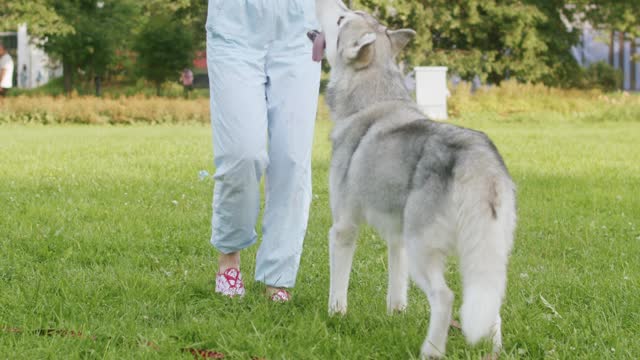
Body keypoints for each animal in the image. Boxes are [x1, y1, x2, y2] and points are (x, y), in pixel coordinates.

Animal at [316, 0, 520, 358]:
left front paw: (335, 316)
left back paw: (431, 350)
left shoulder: (343, 227)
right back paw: (493, 350)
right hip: (481, 256)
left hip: (424, 250)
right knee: (491, 303)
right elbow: (397, 286)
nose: (328, 3)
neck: (373, 98)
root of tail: (478, 157)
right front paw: (395, 314)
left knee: (445, 298)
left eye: (341, 19)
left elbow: (338, 288)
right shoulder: (397, 237)